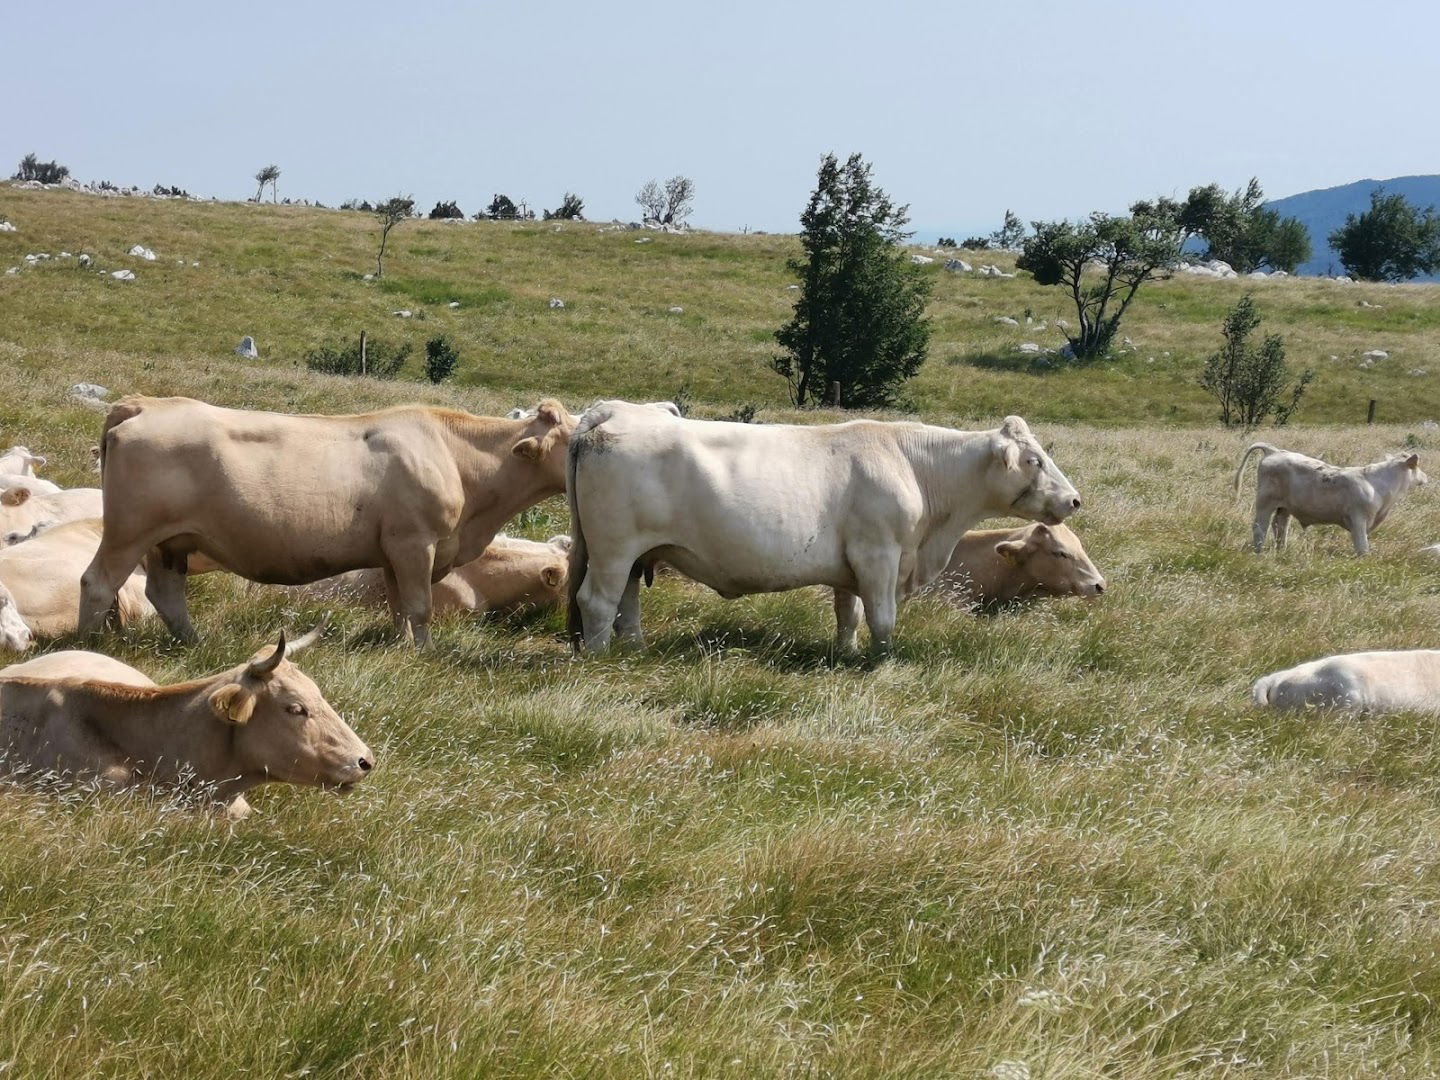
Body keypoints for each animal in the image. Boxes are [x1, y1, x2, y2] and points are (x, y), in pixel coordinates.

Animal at [81, 400, 576, 648]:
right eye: (574, 435)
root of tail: (145, 403)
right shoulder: (415, 542)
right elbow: (420, 607)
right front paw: (425, 654)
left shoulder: (392, 551)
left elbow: (399, 607)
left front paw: (400, 650)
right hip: (130, 531)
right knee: (97, 582)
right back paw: (90, 644)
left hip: (170, 541)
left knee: (165, 594)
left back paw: (196, 643)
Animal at [564, 403, 1082, 650]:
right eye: (1035, 460)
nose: (1074, 499)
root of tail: (612, 411)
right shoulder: (880, 554)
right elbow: (882, 618)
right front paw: (879, 661)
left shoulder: (852, 564)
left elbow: (848, 614)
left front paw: (847, 653)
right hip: (613, 548)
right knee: (597, 601)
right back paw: (601, 657)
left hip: (635, 553)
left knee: (626, 602)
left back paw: (634, 648)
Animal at [1232, 440, 1422, 552]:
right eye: (1417, 467)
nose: (1425, 477)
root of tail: (1274, 451)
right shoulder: (1359, 519)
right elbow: (1362, 546)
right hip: (1265, 502)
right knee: (1260, 527)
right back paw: (1258, 551)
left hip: (1284, 507)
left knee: (1280, 526)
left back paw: (1281, 551)